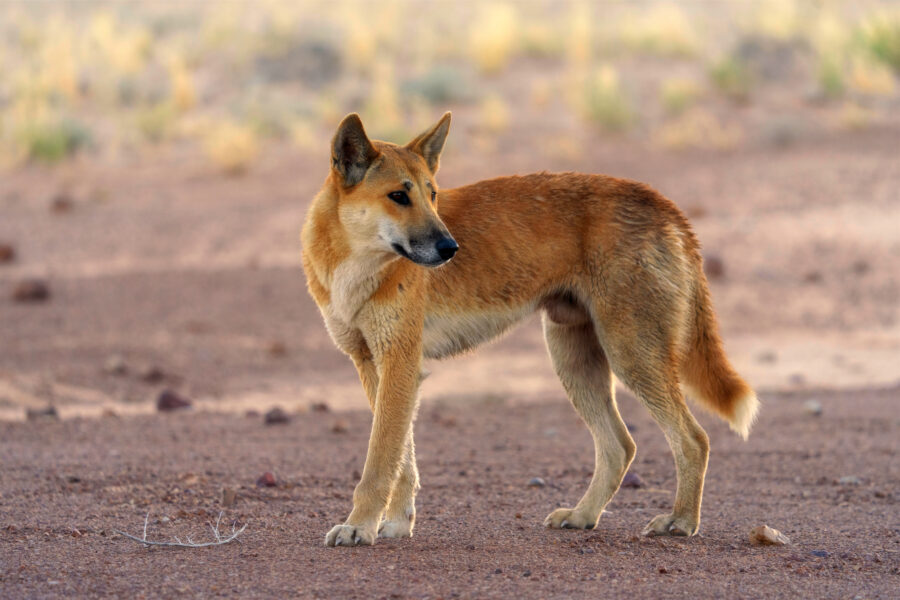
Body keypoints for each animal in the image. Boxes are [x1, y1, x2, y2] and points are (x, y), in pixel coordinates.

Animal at [298, 112, 756, 548]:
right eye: (398, 195)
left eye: (432, 195)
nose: (450, 248)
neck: (353, 268)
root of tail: (664, 204)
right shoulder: (373, 364)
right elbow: (401, 462)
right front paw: (395, 524)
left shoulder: (400, 363)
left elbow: (379, 463)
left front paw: (359, 527)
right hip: (574, 358)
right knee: (620, 446)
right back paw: (583, 515)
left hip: (630, 354)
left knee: (693, 439)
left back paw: (681, 521)